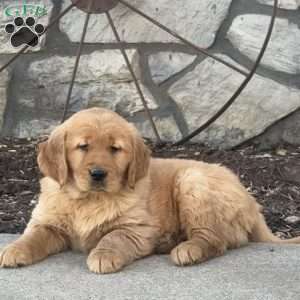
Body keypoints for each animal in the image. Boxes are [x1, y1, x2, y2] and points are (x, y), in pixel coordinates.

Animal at [1, 106, 298, 274]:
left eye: (115, 149)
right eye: (83, 146)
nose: (98, 174)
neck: (89, 199)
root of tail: (251, 201)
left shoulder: (135, 228)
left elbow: (113, 237)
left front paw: (104, 255)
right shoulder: (48, 223)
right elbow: (33, 237)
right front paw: (14, 250)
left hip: (193, 181)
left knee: (216, 240)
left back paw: (187, 249)